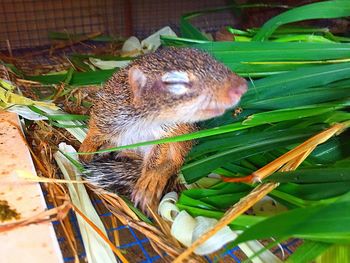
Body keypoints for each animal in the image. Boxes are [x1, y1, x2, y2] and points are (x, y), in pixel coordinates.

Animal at [80, 47, 247, 212]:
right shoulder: (110, 111)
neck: (146, 121)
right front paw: (85, 150)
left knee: (175, 162)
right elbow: (96, 128)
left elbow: (158, 155)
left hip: (184, 137)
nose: (242, 85)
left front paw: (149, 178)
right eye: (175, 82)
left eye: (213, 59)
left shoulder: (168, 132)